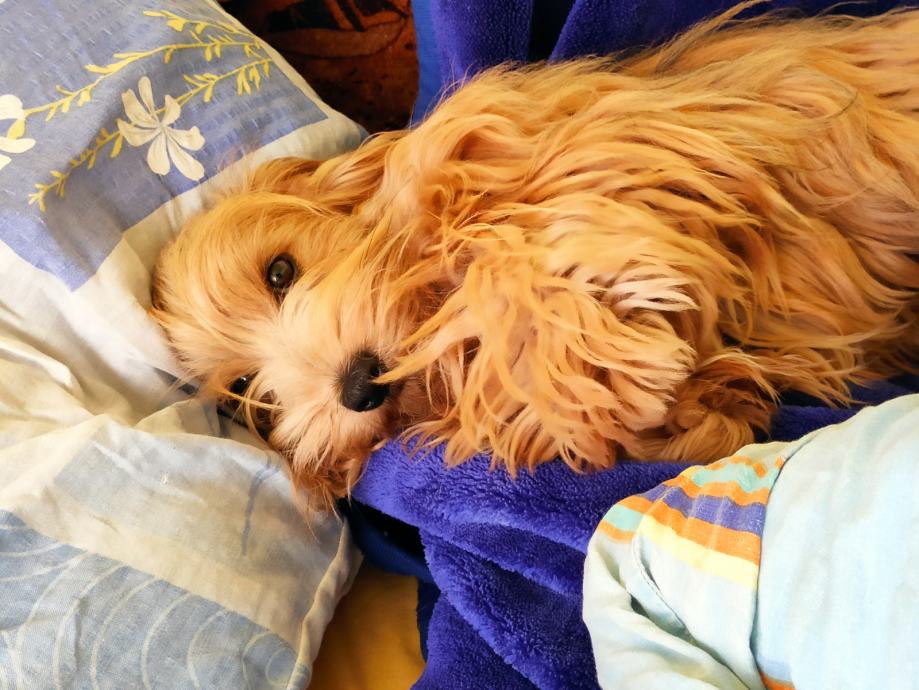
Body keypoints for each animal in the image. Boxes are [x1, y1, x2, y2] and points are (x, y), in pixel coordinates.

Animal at [152, 6, 919, 507]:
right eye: (249, 391)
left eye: (280, 271)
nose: (359, 387)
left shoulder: (606, 145)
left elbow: (504, 251)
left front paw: (593, 370)